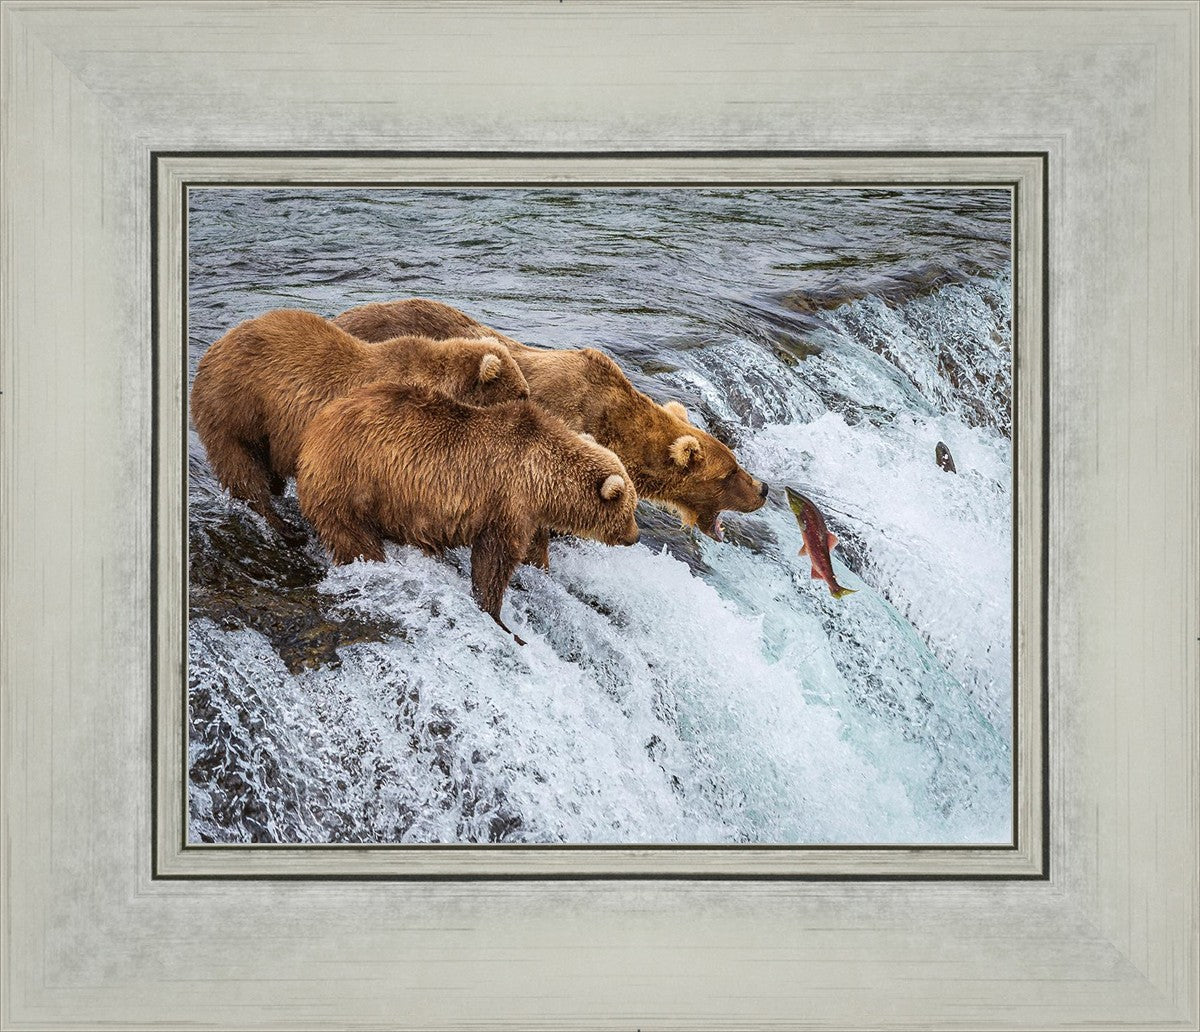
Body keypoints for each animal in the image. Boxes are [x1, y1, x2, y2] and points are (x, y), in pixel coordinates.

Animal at [191, 308, 530, 543]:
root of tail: (214, 348)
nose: (531, 406)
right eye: (521, 393)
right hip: (237, 407)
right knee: (242, 467)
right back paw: (284, 527)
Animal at [294, 383, 641, 644]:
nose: (635, 536)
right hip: (353, 482)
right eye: (630, 509)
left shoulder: (528, 513)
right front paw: (499, 617)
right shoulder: (507, 500)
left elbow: (532, 549)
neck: (543, 478)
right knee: (353, 537)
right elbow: (494, 560)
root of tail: (315, 428)